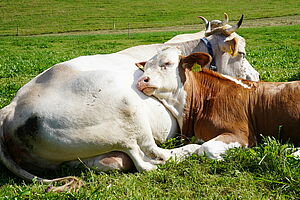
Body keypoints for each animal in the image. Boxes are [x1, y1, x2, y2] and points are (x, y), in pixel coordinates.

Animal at [0, 14, 258, 191]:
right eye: (242, 53)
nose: (255, 77)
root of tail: (10, 110)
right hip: (129, 112)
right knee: (151, 159)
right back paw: (192, 148)